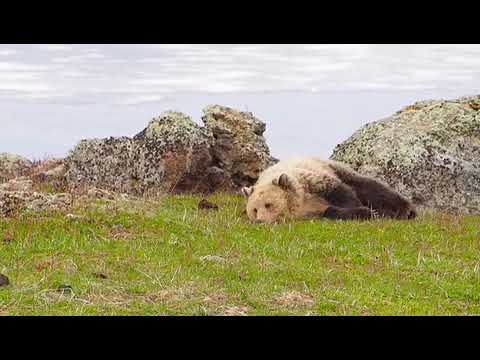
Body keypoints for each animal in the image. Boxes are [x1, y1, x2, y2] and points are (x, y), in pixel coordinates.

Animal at [242, 158, 418, 222]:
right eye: (254, 210)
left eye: (268, 204)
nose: (260, 220)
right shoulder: (308, 211)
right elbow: (329, 211)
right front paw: (366, 212)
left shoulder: (310, 181)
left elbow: (341, 192)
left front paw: (369, 211)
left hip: (336, 168)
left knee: (369, 187)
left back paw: (406, 210)